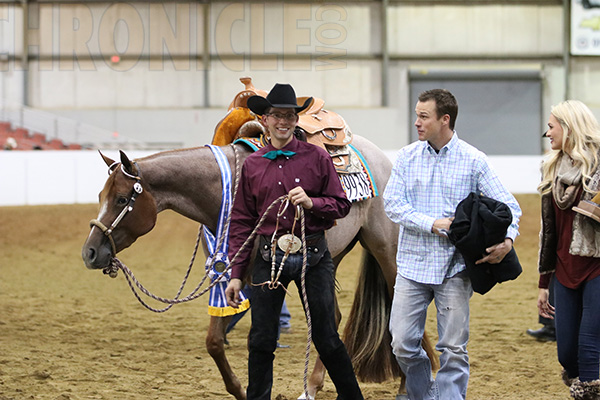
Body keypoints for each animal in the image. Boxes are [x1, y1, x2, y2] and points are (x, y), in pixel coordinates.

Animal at [81, 136, 436, 398]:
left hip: (386, 251)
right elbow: (214, 341)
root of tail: (384, 160)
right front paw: (239, 390)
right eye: (99, 195)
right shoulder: (227, 273)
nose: (90, 252)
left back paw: (407, 386)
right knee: (331, 320)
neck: (226, 188)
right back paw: (311, 388)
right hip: (328, 259)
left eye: (123, 199)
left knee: (400, 313)